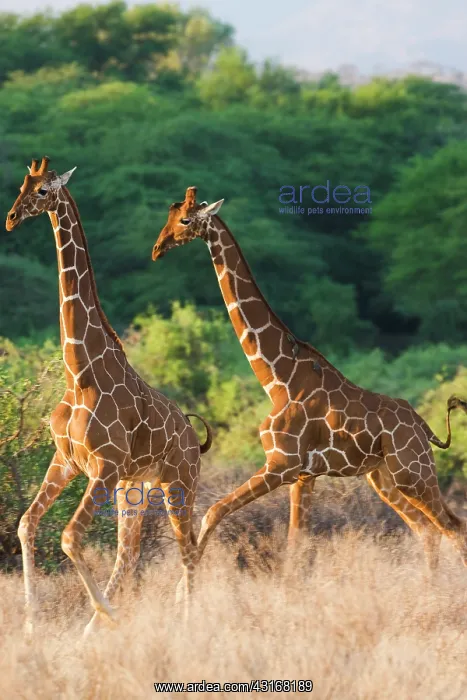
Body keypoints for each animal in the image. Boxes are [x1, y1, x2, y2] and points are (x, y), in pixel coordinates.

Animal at [6, 159, 212, 636]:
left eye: (43, 191)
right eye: (22, 184)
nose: (10, 218)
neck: (80, 374)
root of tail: (195, 440)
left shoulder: (104, 465)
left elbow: (68, 537)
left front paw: (107, 615)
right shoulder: (66, 460)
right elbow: (26, 525)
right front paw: (31, 626)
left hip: (178, 483)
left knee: (188, 551)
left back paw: (183, 626)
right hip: (133, 487)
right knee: (130, 553)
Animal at [151, 186, 467, 569]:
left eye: (184, 220)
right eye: (168, 217)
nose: (157, 248)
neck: (278, 379)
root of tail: (424, 427)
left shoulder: (281, 465)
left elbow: (213, 512)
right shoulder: (303, 475)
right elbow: (295, 545)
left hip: (413, 472)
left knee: (453, 526)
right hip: (385, 477)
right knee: (427, 530)